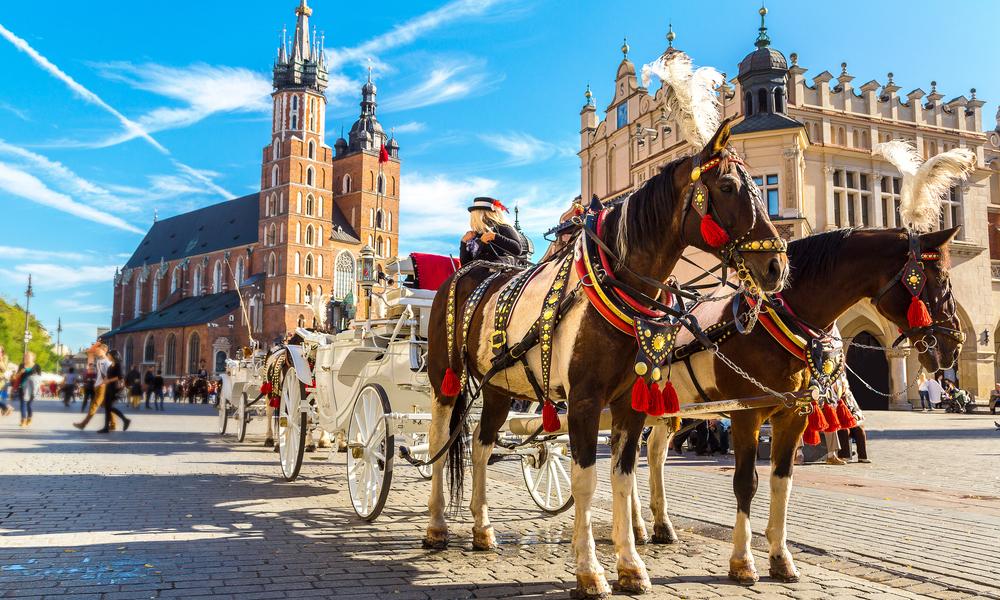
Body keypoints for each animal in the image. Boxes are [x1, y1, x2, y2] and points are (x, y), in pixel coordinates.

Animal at [422, 119, 788, 596]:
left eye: (762, 188)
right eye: (727, 186)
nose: (777, 267)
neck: (618, 286)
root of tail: (468, 271)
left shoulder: (629, 404)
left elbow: (622, 478)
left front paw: (631, 565)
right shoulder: (583, 401)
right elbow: (586, 482)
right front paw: (590, 570)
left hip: (500, 386)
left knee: (481, 447)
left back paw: (483, 530)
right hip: (443, 376)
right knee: (440, 440)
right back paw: (436, 526)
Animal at [640, 227, 960, 584]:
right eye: (941, 279)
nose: (954, 344)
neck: (774, 323)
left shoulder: (793, 414)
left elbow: (782, 480)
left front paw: (781, 558)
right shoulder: (746, 414)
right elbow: (745, 483)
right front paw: (742, 561)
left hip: (670, 409)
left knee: (653, 453)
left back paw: (655, 526)